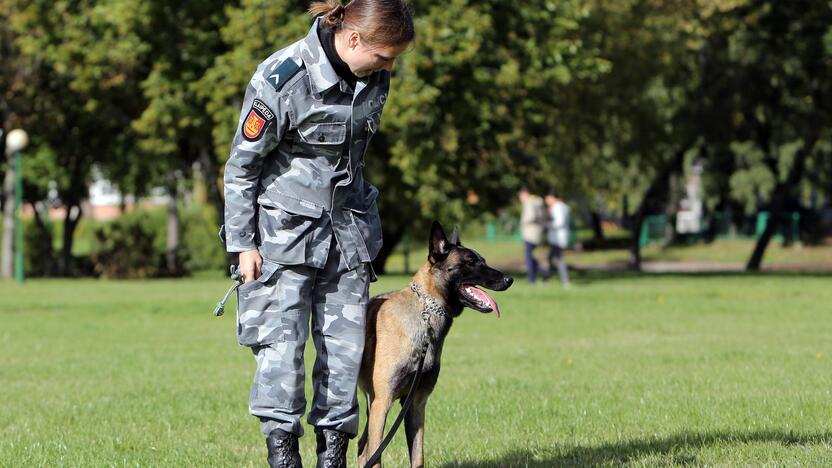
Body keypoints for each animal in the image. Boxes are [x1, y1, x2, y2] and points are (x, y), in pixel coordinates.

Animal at [354, 220, 510, 468]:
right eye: (470, 262)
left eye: (483, 260)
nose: (509, 280)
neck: (425, 315)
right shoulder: (382, 402)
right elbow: (376, 457)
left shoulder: (416, 404)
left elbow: (417, 458)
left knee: (362, 446)